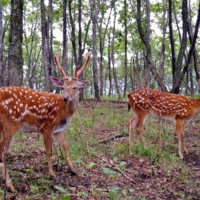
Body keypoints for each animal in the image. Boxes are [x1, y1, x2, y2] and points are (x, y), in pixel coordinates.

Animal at [0, 52, 90, 191]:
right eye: (63, 87)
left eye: (75, 87)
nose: (65, 98)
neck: (64, 113)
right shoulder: (46, 127)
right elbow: (49, 151)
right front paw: (52, 174)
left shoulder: (58, 130)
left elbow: (65, 145)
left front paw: (73, 169)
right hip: (10, 124)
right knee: (2, 152)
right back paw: (11, 186)